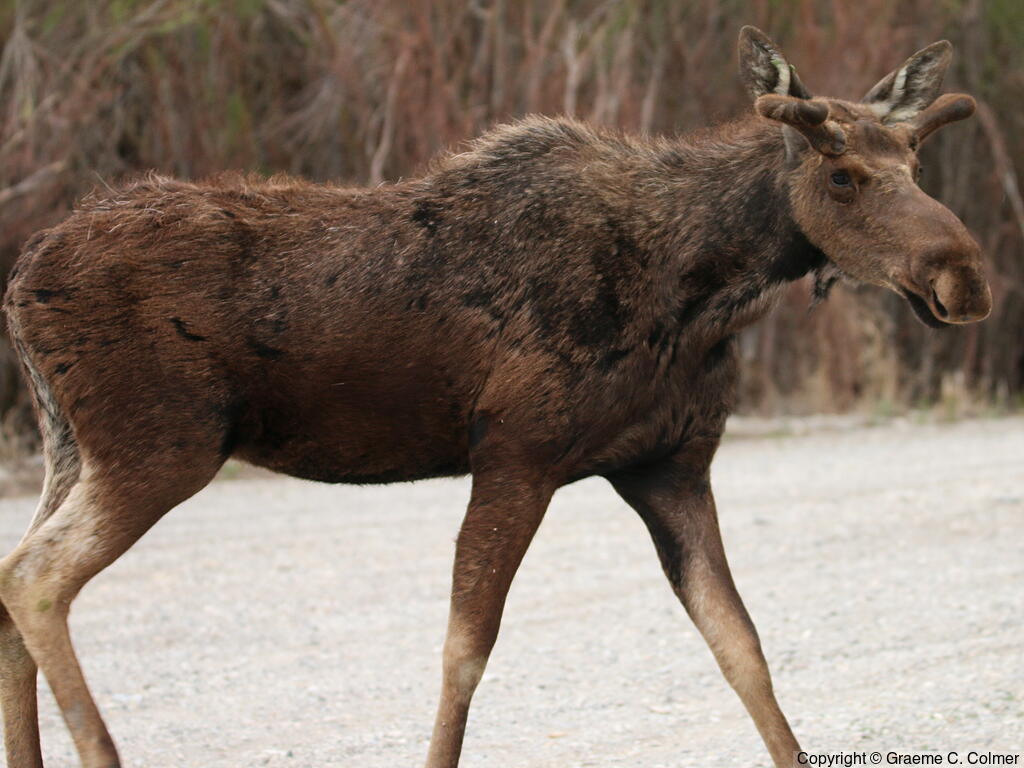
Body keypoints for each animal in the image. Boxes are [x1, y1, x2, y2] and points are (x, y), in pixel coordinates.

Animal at [0, 25, 990, 768]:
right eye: (841, 175)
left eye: (913, 163)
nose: (966, 276)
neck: (701, 291)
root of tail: (22, 277)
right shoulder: (516, 454)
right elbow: (465, 654)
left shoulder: (670, 467)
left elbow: (743, 649)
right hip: (157, 449)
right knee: (35, 579)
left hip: (71, 449)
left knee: (14, 584)